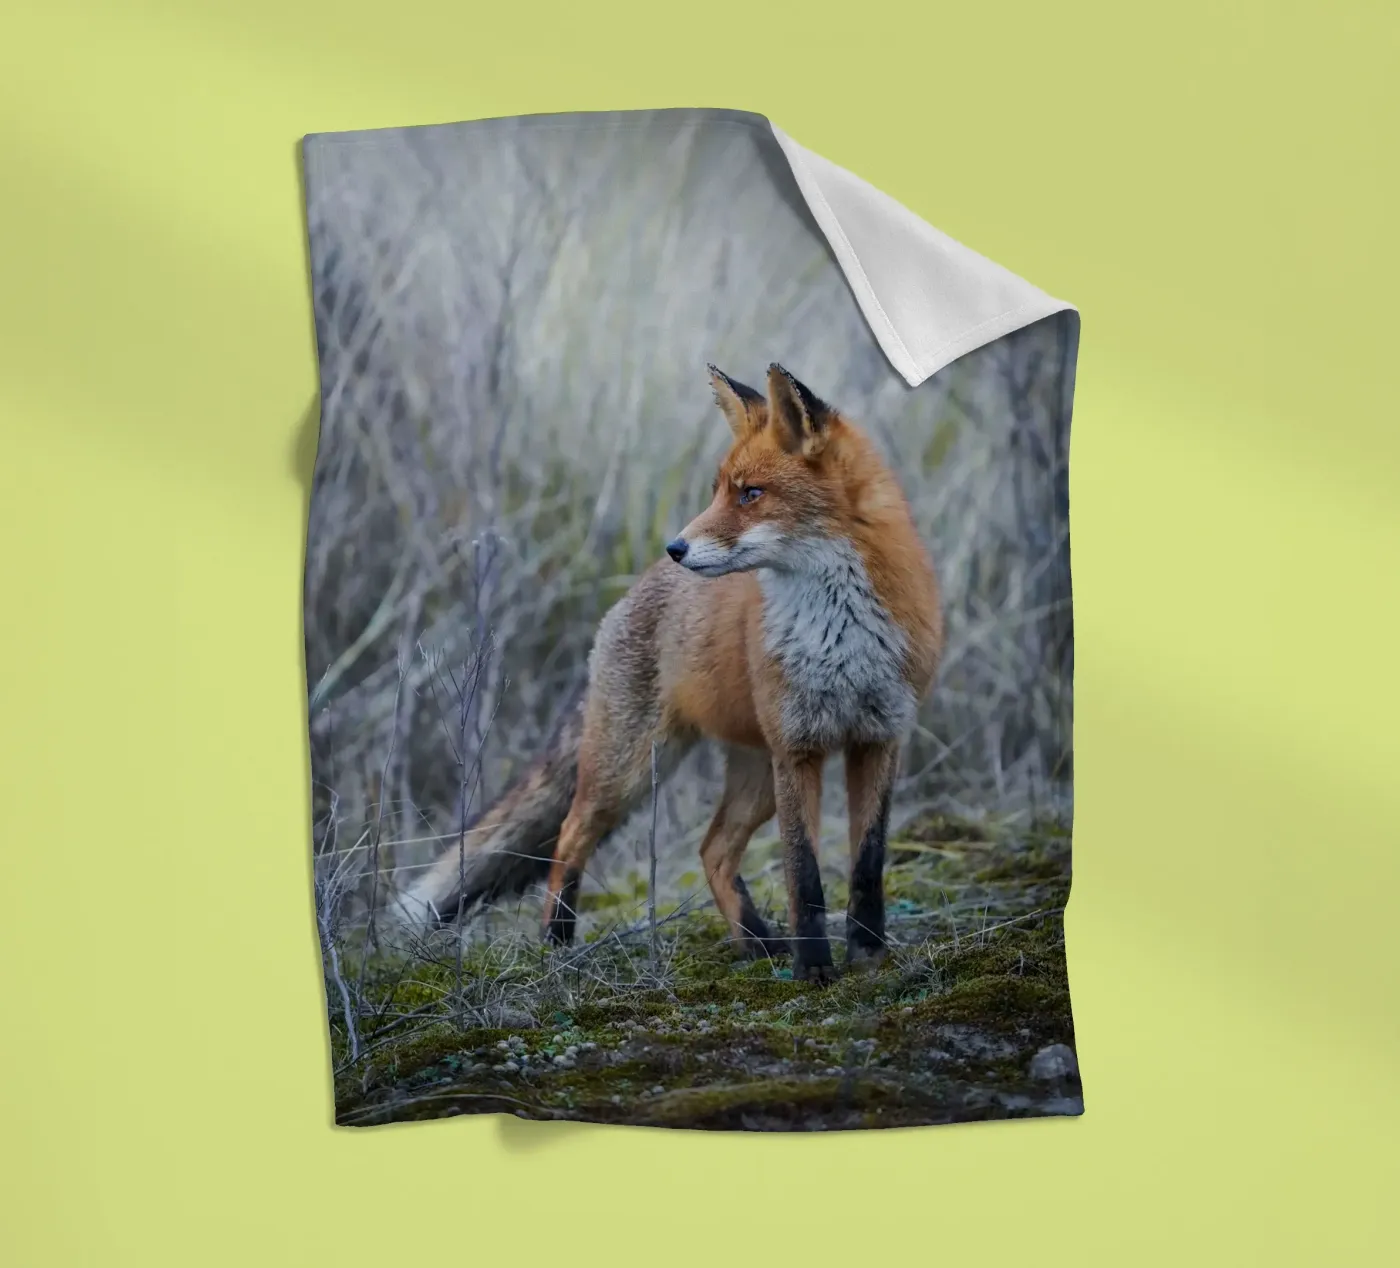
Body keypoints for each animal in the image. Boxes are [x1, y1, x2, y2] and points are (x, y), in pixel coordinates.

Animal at [393, 363, 942, 982]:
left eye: (751, 493)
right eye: (718, 490)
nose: (675, 546)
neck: (838, 634)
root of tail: (633, 591)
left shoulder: (878, 737)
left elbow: (867, 864)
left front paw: (868, 957)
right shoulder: (798, 748)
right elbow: (804, 876)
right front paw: (815, 972)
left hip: (755, 776)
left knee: (712, 850)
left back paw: (755, 942)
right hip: (632, 768)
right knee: (569, 837)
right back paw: (556, 943)